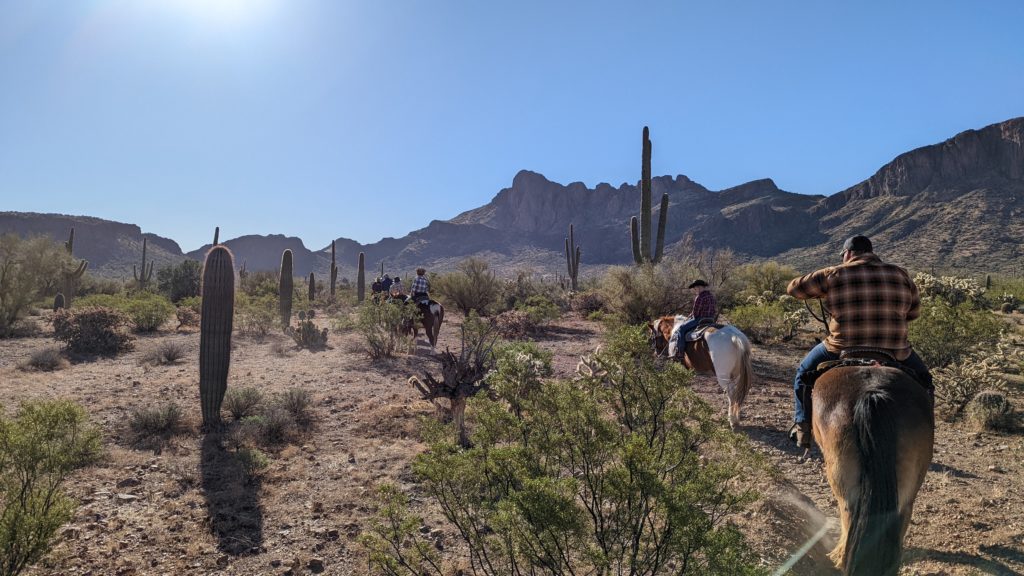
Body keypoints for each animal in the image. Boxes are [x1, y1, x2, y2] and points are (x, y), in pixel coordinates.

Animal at [811, 356, 933, 569]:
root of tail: (873, 392)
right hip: (909, 481)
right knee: (901, 514)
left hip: (840, 476)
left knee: (848, 512)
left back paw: (839, 557)